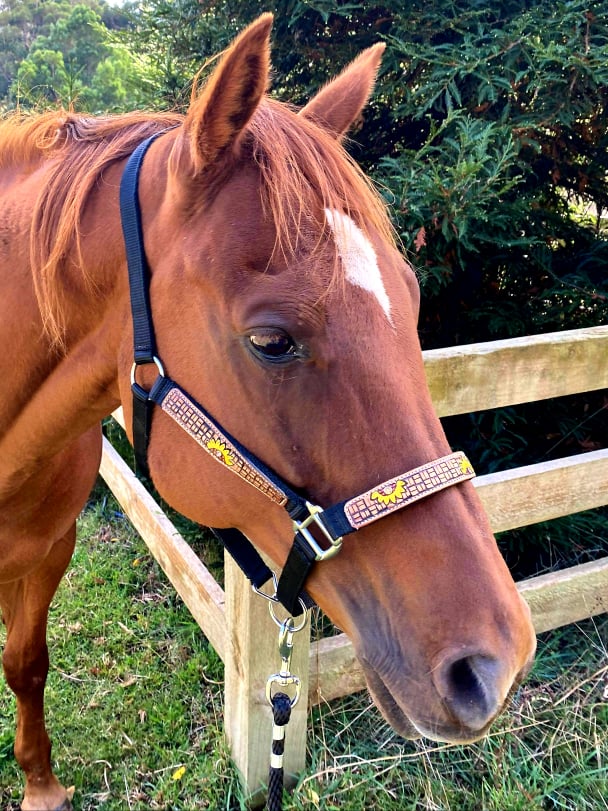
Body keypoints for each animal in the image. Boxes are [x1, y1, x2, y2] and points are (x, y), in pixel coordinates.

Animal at [0, 14, 532, 811]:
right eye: (272, 341)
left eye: (410, 299)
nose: (495, 662)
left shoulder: (49, 550)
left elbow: (27, 659)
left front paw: (40, 784)